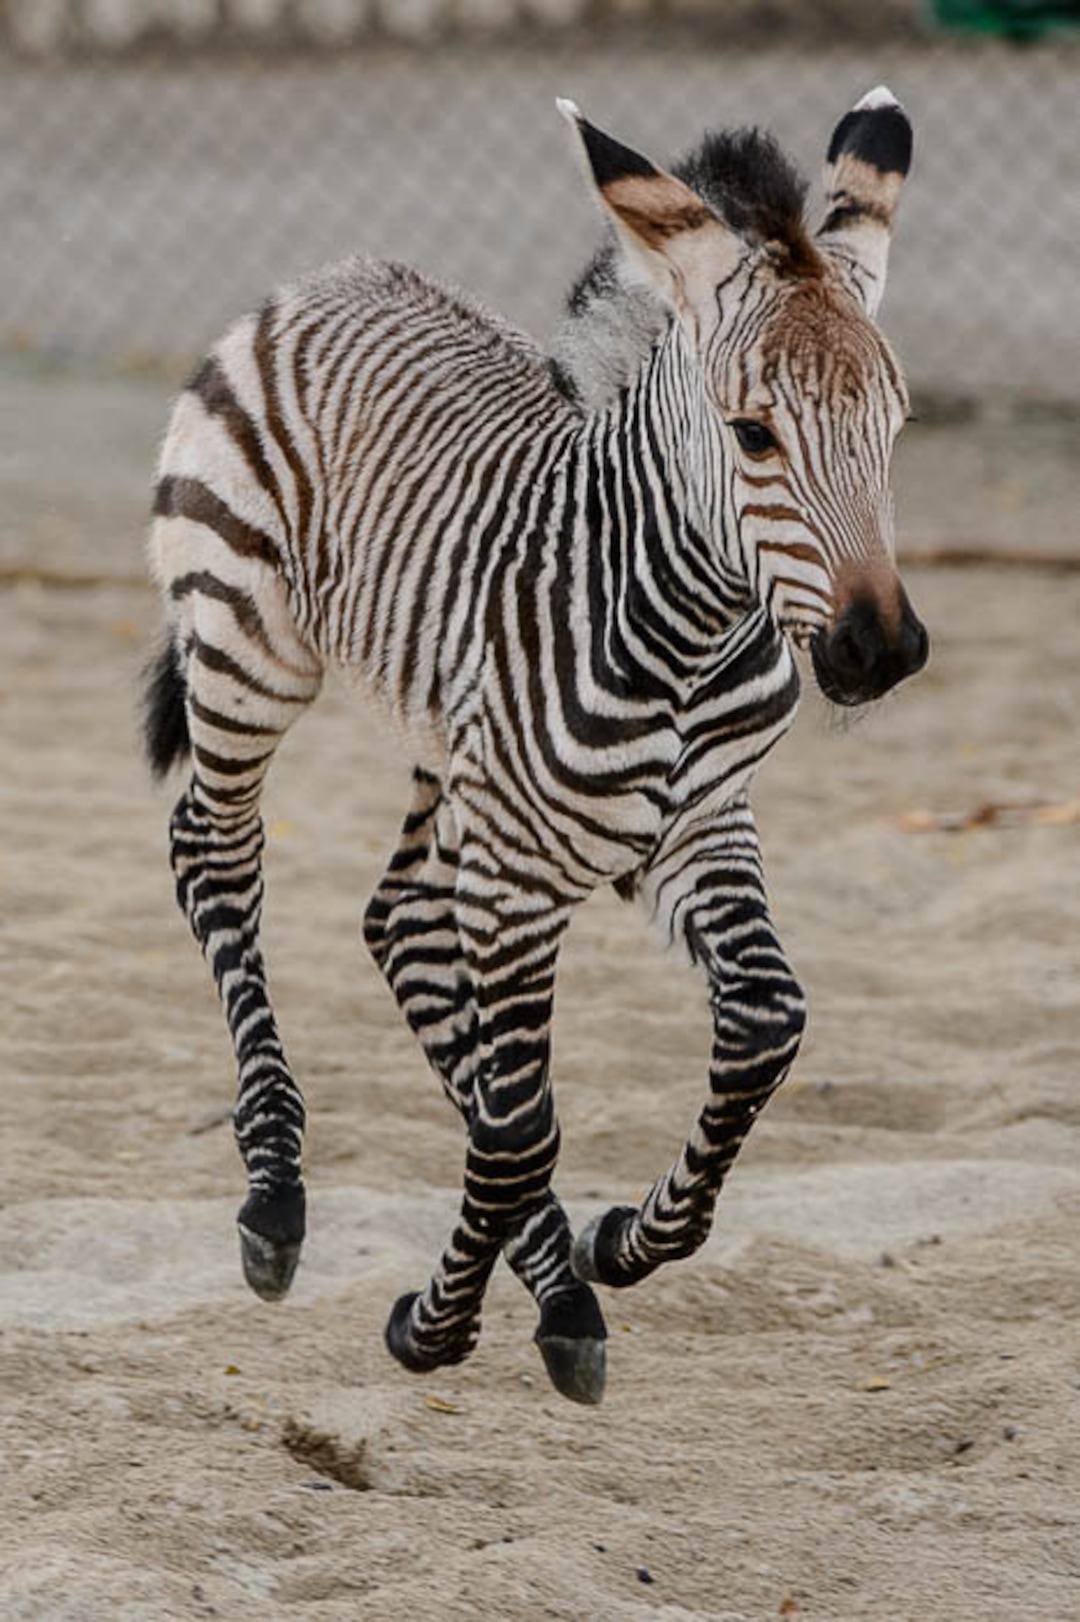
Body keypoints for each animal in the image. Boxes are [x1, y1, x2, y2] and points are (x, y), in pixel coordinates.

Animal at [143, 87, 928, 1406]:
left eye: (895, 427)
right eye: (753, 437)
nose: (882, 652)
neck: (688, 637)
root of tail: (333, 278)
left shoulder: (697, 828)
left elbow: (764, 1027)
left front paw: (619, 1244)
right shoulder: (518, 871)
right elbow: (519, 1127)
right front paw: (435, 1322)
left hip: (451, 757)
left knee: (398, 919)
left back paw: (556, 1276)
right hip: (246, 647)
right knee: (213, 852)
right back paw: (277, 1200)